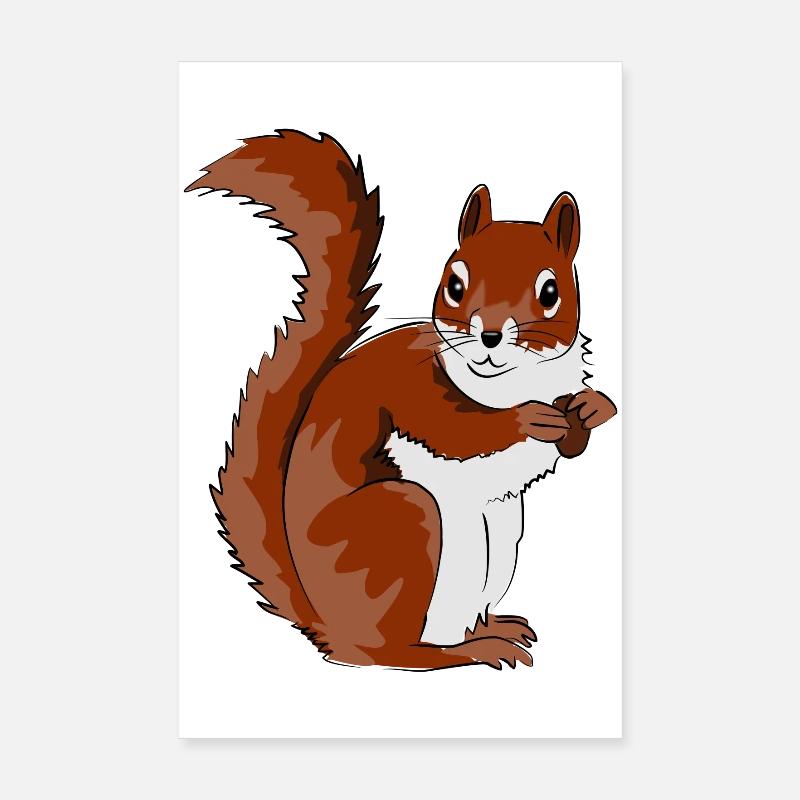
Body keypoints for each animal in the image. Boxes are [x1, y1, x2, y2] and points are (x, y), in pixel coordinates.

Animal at [185, 130, 617, 670]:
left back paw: (493, 629)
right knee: (391, 652)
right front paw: (526, 420)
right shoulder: (411, 389)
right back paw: (464, 651)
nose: (490, 336)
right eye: (455, 284)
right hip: (406, 525)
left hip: (499, 539)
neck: (509, 382)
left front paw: (592, 408)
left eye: (551, 291)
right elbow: (457, 431)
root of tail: (326, 625)